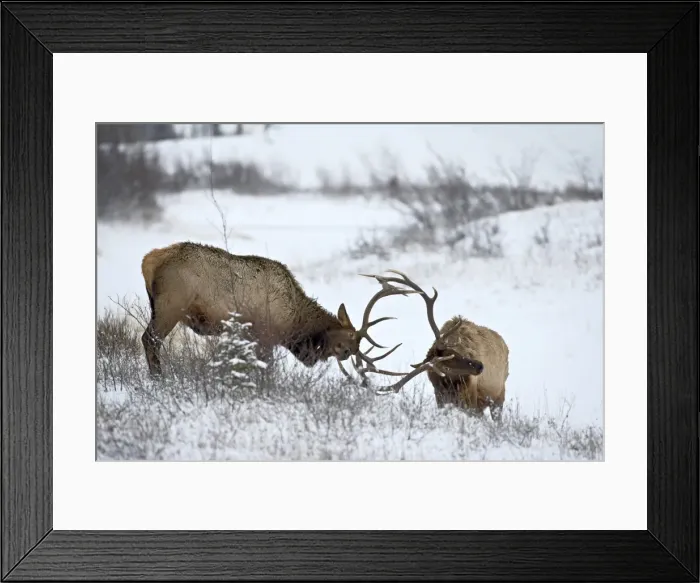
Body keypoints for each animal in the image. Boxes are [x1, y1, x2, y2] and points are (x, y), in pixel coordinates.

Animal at [139, 241, 417, 378]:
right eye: (349, 339)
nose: (347, 353)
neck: (294, 320)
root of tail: (148, 260)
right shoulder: (265, 335)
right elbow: (266, 368)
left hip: (158, 305)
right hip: (171, 305)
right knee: (149, 339)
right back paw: (159, 379)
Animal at [349, 270, 510, 422]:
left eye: (455, 352)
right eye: (446, 363)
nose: (480, 366)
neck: (449, 387)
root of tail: (503, 341)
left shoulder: (472, 403)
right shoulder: (442, 400)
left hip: (499, 397)